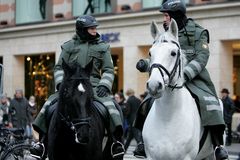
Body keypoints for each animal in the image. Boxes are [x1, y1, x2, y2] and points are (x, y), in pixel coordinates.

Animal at [142, 19, 216, 160]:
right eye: (150, 53)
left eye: (173, 53)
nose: (154, 85)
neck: (167, 118)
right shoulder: (151, 157)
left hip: (210, 154)